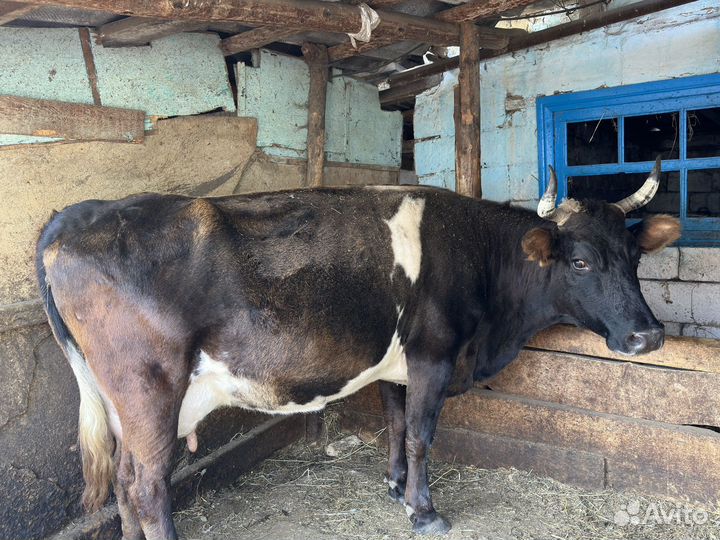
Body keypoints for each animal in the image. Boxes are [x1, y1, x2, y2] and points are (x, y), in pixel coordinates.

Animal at [36, 158, 679, 539]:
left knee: (123, 480)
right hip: (150, 387)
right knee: (148, 484)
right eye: (580, 261)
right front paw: (424, 510)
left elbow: (395, 424)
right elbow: (421, 434)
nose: (648, 335)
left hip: (121, 400)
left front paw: (395, 488)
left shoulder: (399, 364)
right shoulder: (432, 354)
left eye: (634, 256)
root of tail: (76, 215)